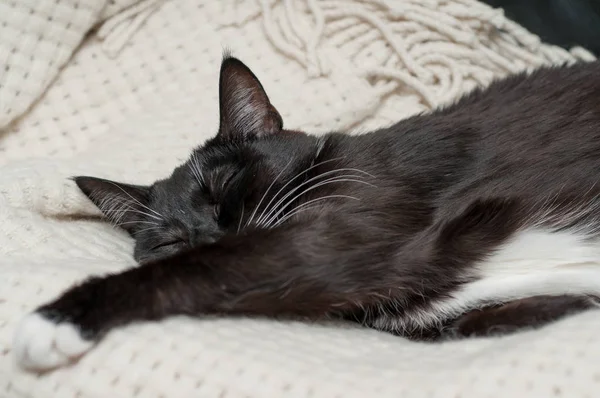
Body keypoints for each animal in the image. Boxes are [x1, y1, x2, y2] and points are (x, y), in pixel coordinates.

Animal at [11, 55, 600, 370]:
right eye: (169, 238)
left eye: (224, 185)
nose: (208, 235)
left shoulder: (361, 216)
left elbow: (211, 270)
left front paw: (58, 319)